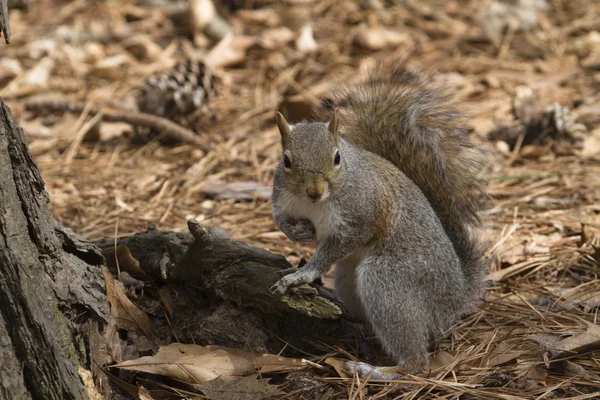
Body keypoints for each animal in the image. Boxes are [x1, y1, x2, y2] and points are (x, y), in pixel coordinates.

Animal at [270, 64, 490, 380]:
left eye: (336, 157)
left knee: (416, 360)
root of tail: (456, 295)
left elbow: (342, 242)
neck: (313, 204)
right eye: (286, 161)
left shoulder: (365, 211)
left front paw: (304, 273)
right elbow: (279, 219)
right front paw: (298, 232)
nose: (314, 191)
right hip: (348, 280)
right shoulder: (281, 197)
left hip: (388, 280)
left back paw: (374, 370)